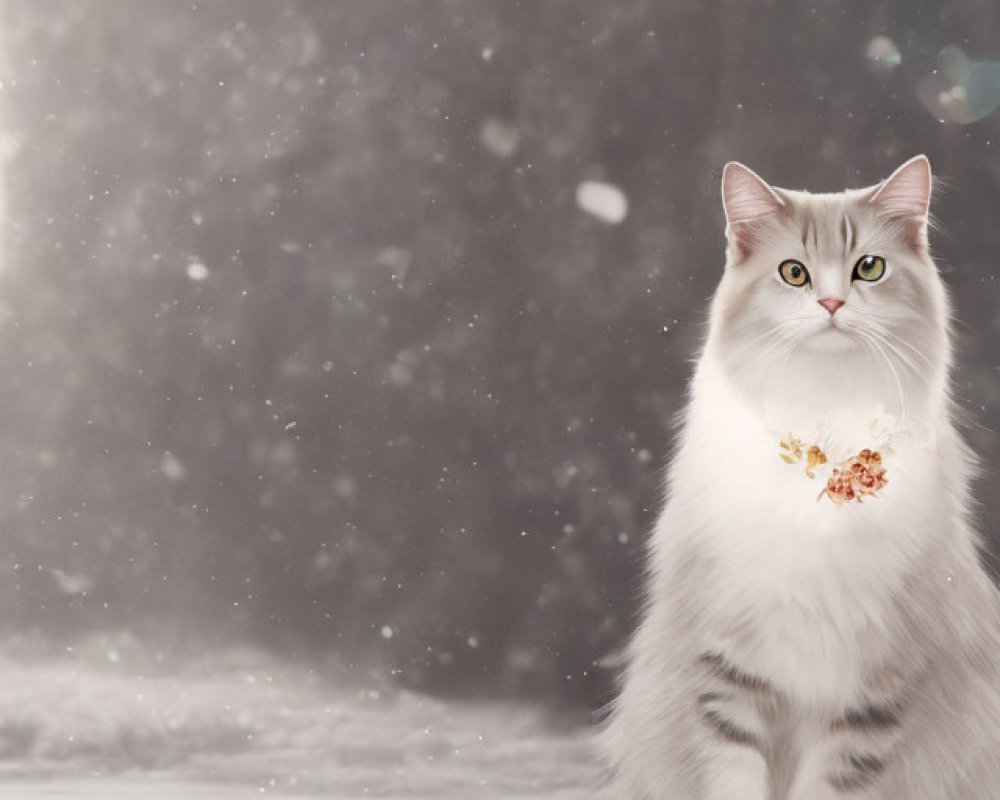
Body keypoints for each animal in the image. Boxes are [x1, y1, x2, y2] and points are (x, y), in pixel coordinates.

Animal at [596, 158, 1000, 800]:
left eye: (869, 267)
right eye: (793, 273)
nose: (832, 302)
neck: (825, 431)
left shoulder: (877, 689)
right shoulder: (726, 671)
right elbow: (733, 779)